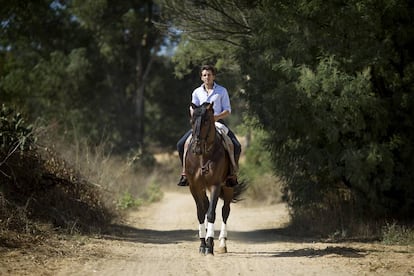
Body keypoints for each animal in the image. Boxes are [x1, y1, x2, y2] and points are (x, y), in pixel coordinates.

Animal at [184, 102, 246, 256]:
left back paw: (222, 244)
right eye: (192, 121)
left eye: (206, 121)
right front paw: (202, 245)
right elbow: (201, 213)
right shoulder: (194, 187)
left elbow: (211, 214)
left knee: (225, 211)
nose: (197, 147)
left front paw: (210, 246)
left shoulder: (215, 186)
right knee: (206, 207)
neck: (203, 157)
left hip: (228, 188)